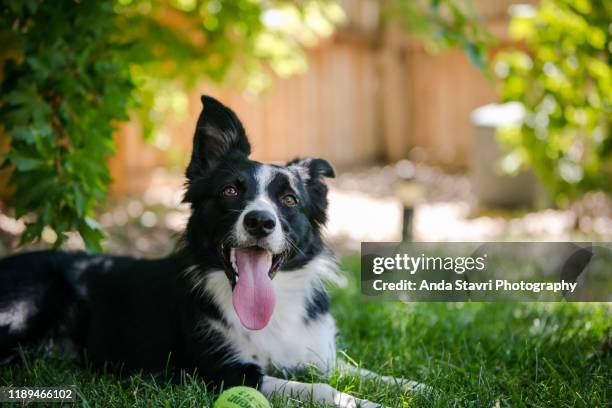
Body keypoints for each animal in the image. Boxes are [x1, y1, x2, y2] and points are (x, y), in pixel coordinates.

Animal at [0, 96, 424, 408]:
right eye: (230, 191)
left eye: (289, 200)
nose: (260, 222)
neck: (272, 314)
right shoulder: (222, 372)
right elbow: (323, 389)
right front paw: (372, 404)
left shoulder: (317, 355)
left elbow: (362, 371)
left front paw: (416, 388)